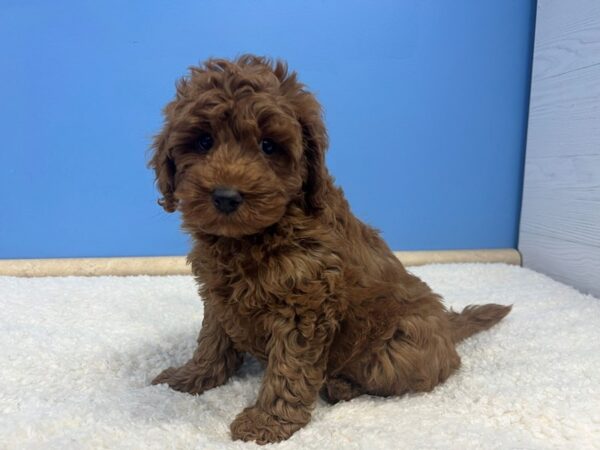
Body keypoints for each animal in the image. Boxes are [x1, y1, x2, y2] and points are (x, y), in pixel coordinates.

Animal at [150, 54, 510, 444]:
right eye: (203, 142)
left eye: (268, 146)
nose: (226, 196)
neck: (251, 236)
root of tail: (447, 326)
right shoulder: (219, 293)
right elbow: (212, 340)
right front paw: (191, 377)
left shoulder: (304, 305)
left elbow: (289, 367)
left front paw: (267, 421)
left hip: (398, 346)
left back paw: (340, 385)